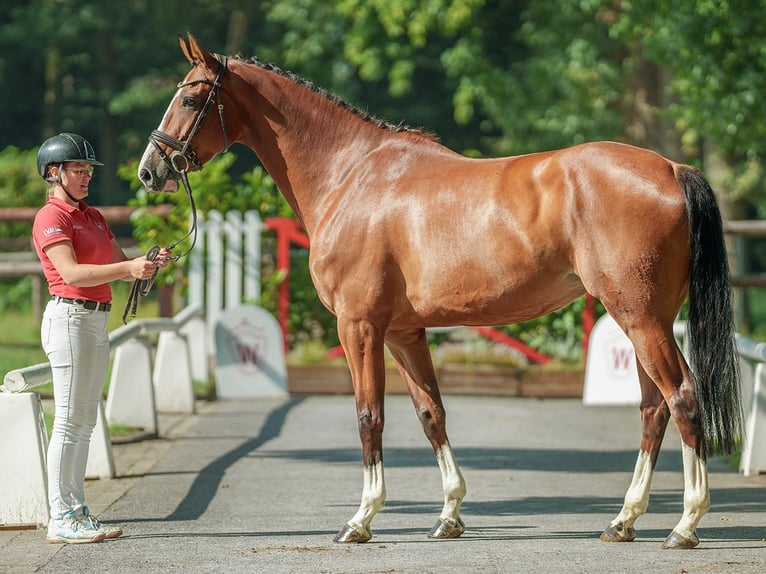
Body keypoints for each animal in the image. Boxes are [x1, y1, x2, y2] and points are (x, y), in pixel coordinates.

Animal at [138, 33, 744, 552]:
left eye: (190, 97)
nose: (150, 170)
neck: (351, 175)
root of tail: (670, 168)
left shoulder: (359, 326)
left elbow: (369, 415)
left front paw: (361, 520)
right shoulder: (404, 332)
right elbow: (432, 413)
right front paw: (449, 516)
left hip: (639, 318)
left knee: (683, 399)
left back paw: (686, 525)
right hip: (643, 319)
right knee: (653, 409)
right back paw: (623, 521)